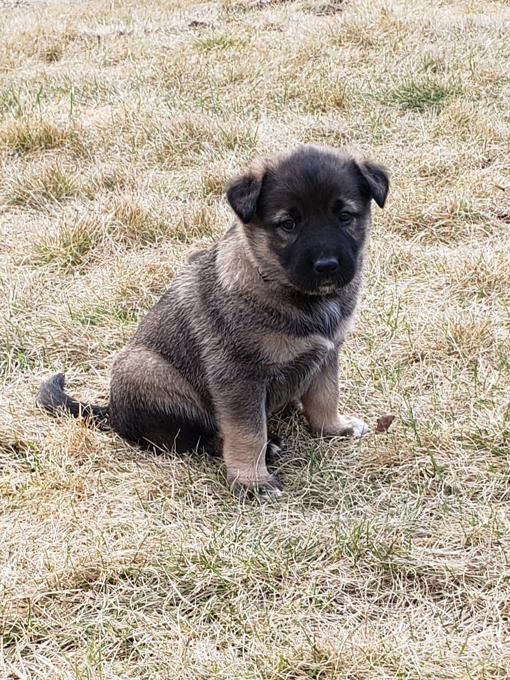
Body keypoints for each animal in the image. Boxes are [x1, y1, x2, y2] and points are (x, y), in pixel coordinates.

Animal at [37, 145, 388, 494]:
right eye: (288, 224)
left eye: (345, 217)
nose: (327, 266)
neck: (282, 286)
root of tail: (111, 411)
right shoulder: (239, 376)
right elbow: (247, 433)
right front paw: (252, 481)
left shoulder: (327, 353)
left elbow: (325, 395)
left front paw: (334, 427)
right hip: (144, 370)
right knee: (189, 438)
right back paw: (263, 448)